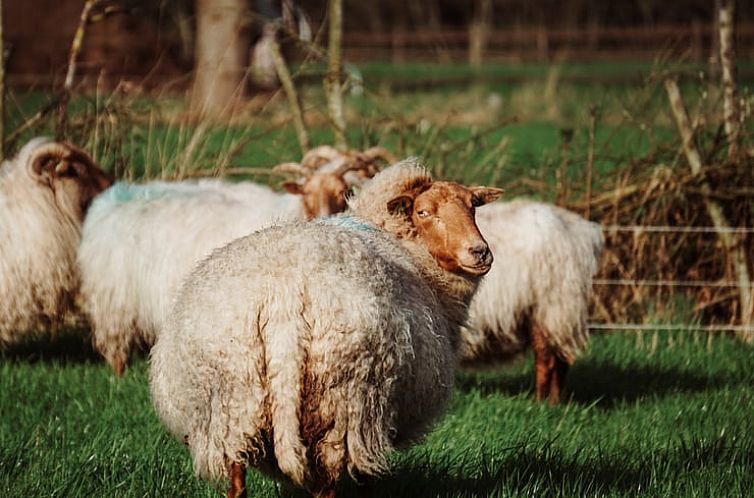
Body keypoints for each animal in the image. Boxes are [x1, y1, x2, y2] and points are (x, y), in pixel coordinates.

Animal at [148, 160, 502, 498]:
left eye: (473, 206)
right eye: (423, 212)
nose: (480, 252)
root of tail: (283, 297)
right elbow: (366, 479)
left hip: (233, 404)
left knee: (237, 482)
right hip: (345, 402)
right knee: (330, 482)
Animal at [456, 199, 604, 404]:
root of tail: (581, 230)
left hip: (549, 305)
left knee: (547, 360)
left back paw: (540, 403)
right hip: (558, 312)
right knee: (560, 360)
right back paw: (556, 403)